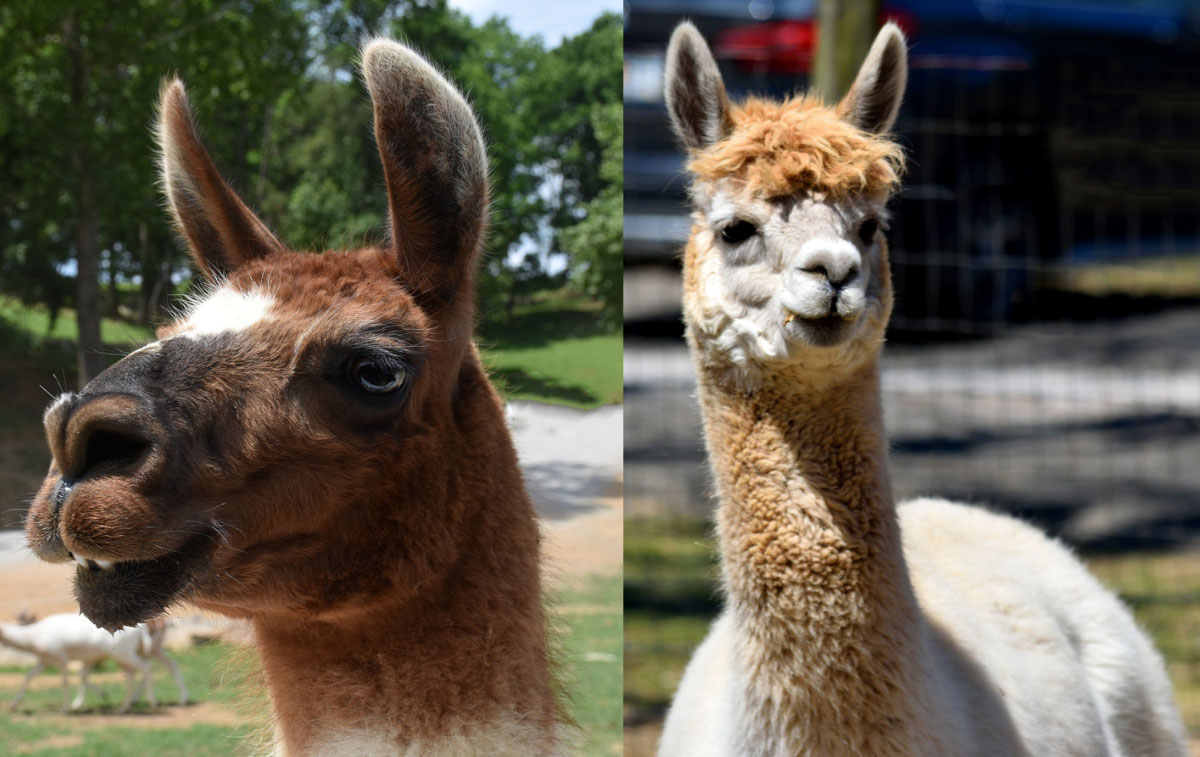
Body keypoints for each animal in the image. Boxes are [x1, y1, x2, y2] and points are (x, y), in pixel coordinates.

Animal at [0, 614, 187, 715]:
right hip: (127, 654)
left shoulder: (61, 656)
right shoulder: (45, 661)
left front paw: (66, 708)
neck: (34, 637)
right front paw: (14, 704)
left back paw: (153, 702)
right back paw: (124, 707)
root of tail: (140, 629)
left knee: (146, 667)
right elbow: (28, 676)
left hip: (126, 653)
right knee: (141, 672)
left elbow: (66, 681)